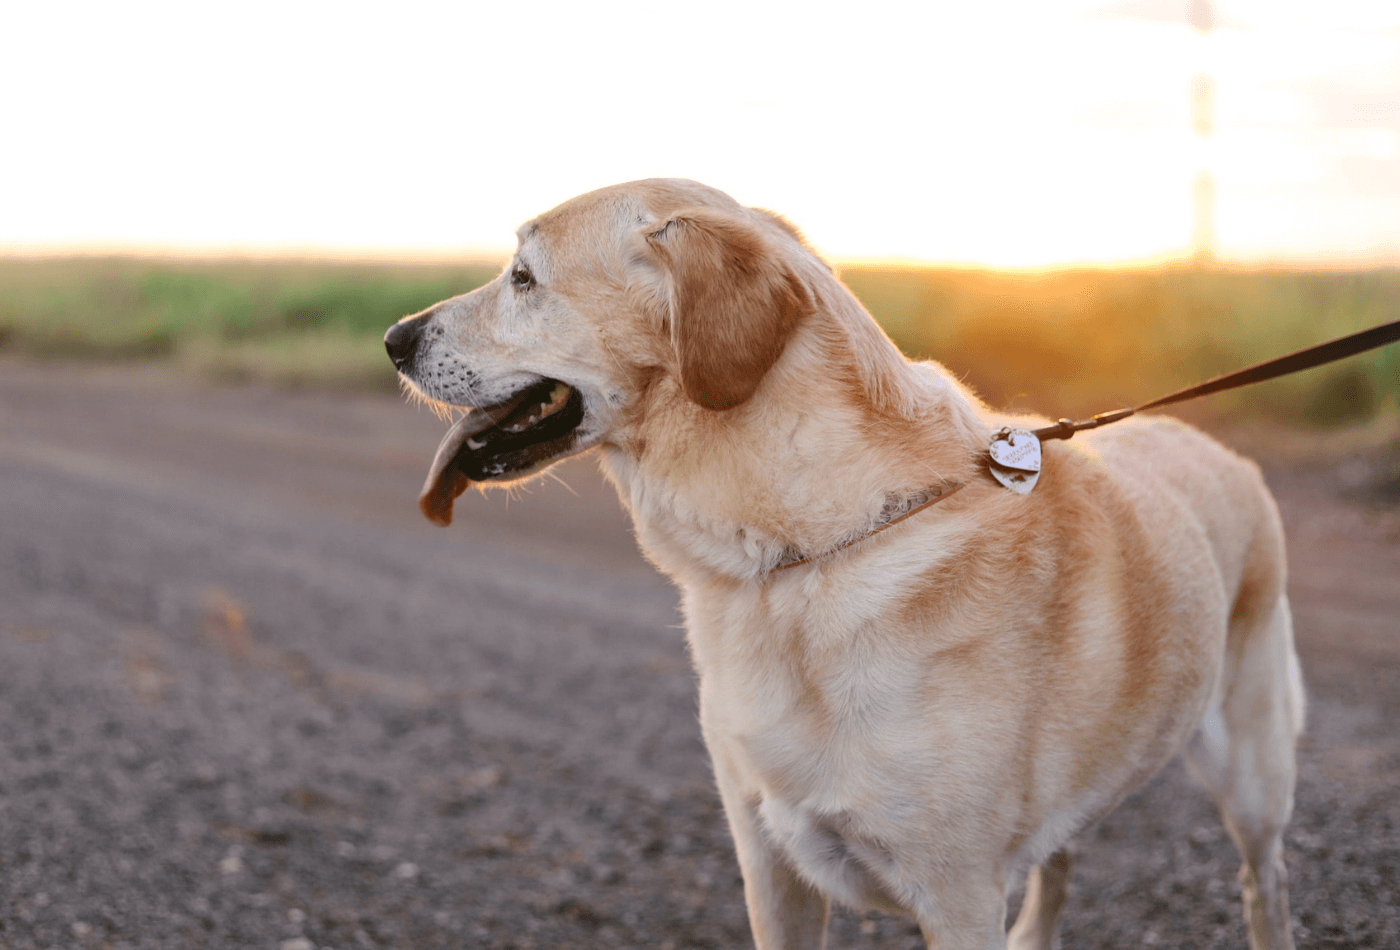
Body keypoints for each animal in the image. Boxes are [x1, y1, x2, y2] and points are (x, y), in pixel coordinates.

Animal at [383, 180, 1299, 950]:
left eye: (523, 278)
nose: (393, 339)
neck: (796, 557)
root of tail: (1217, 447)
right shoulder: (772, 870)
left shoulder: (957, 896)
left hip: (1254, 779)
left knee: (1264, 884)